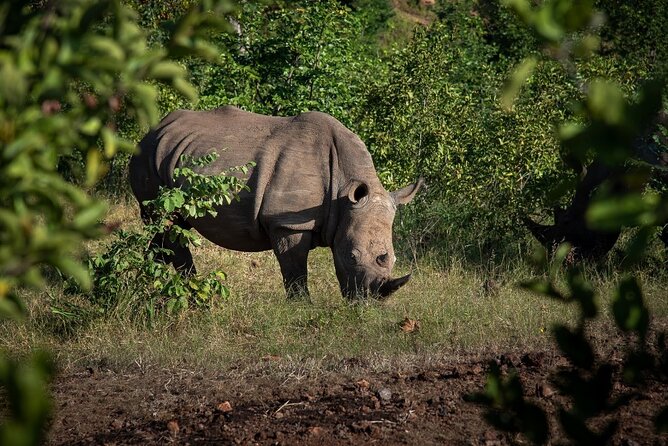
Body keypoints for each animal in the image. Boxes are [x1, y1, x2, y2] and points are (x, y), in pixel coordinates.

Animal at [129, 106, 423, 299]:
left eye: (392, 258)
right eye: (352, 256)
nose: (369, 302)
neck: (343, 189)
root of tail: (153, 130)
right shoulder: (288, 222)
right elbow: (295, 271)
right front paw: (302, 308)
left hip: (170, 154)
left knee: (168, 228)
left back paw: (146, 282)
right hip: (147, 158)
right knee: (165, 221)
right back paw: (191, 291)